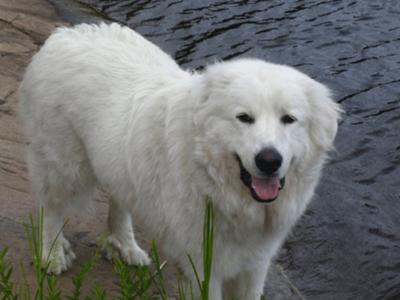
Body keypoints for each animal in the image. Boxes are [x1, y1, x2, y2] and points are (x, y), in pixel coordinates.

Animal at [18, 24, 340, 300]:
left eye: (289, 119)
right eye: (244, 117)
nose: (269, 160)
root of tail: (66, 32)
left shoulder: (253, 266)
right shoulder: (203, 265)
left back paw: (125, 247)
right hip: (63, 164)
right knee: (51, 208)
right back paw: (52, 254)